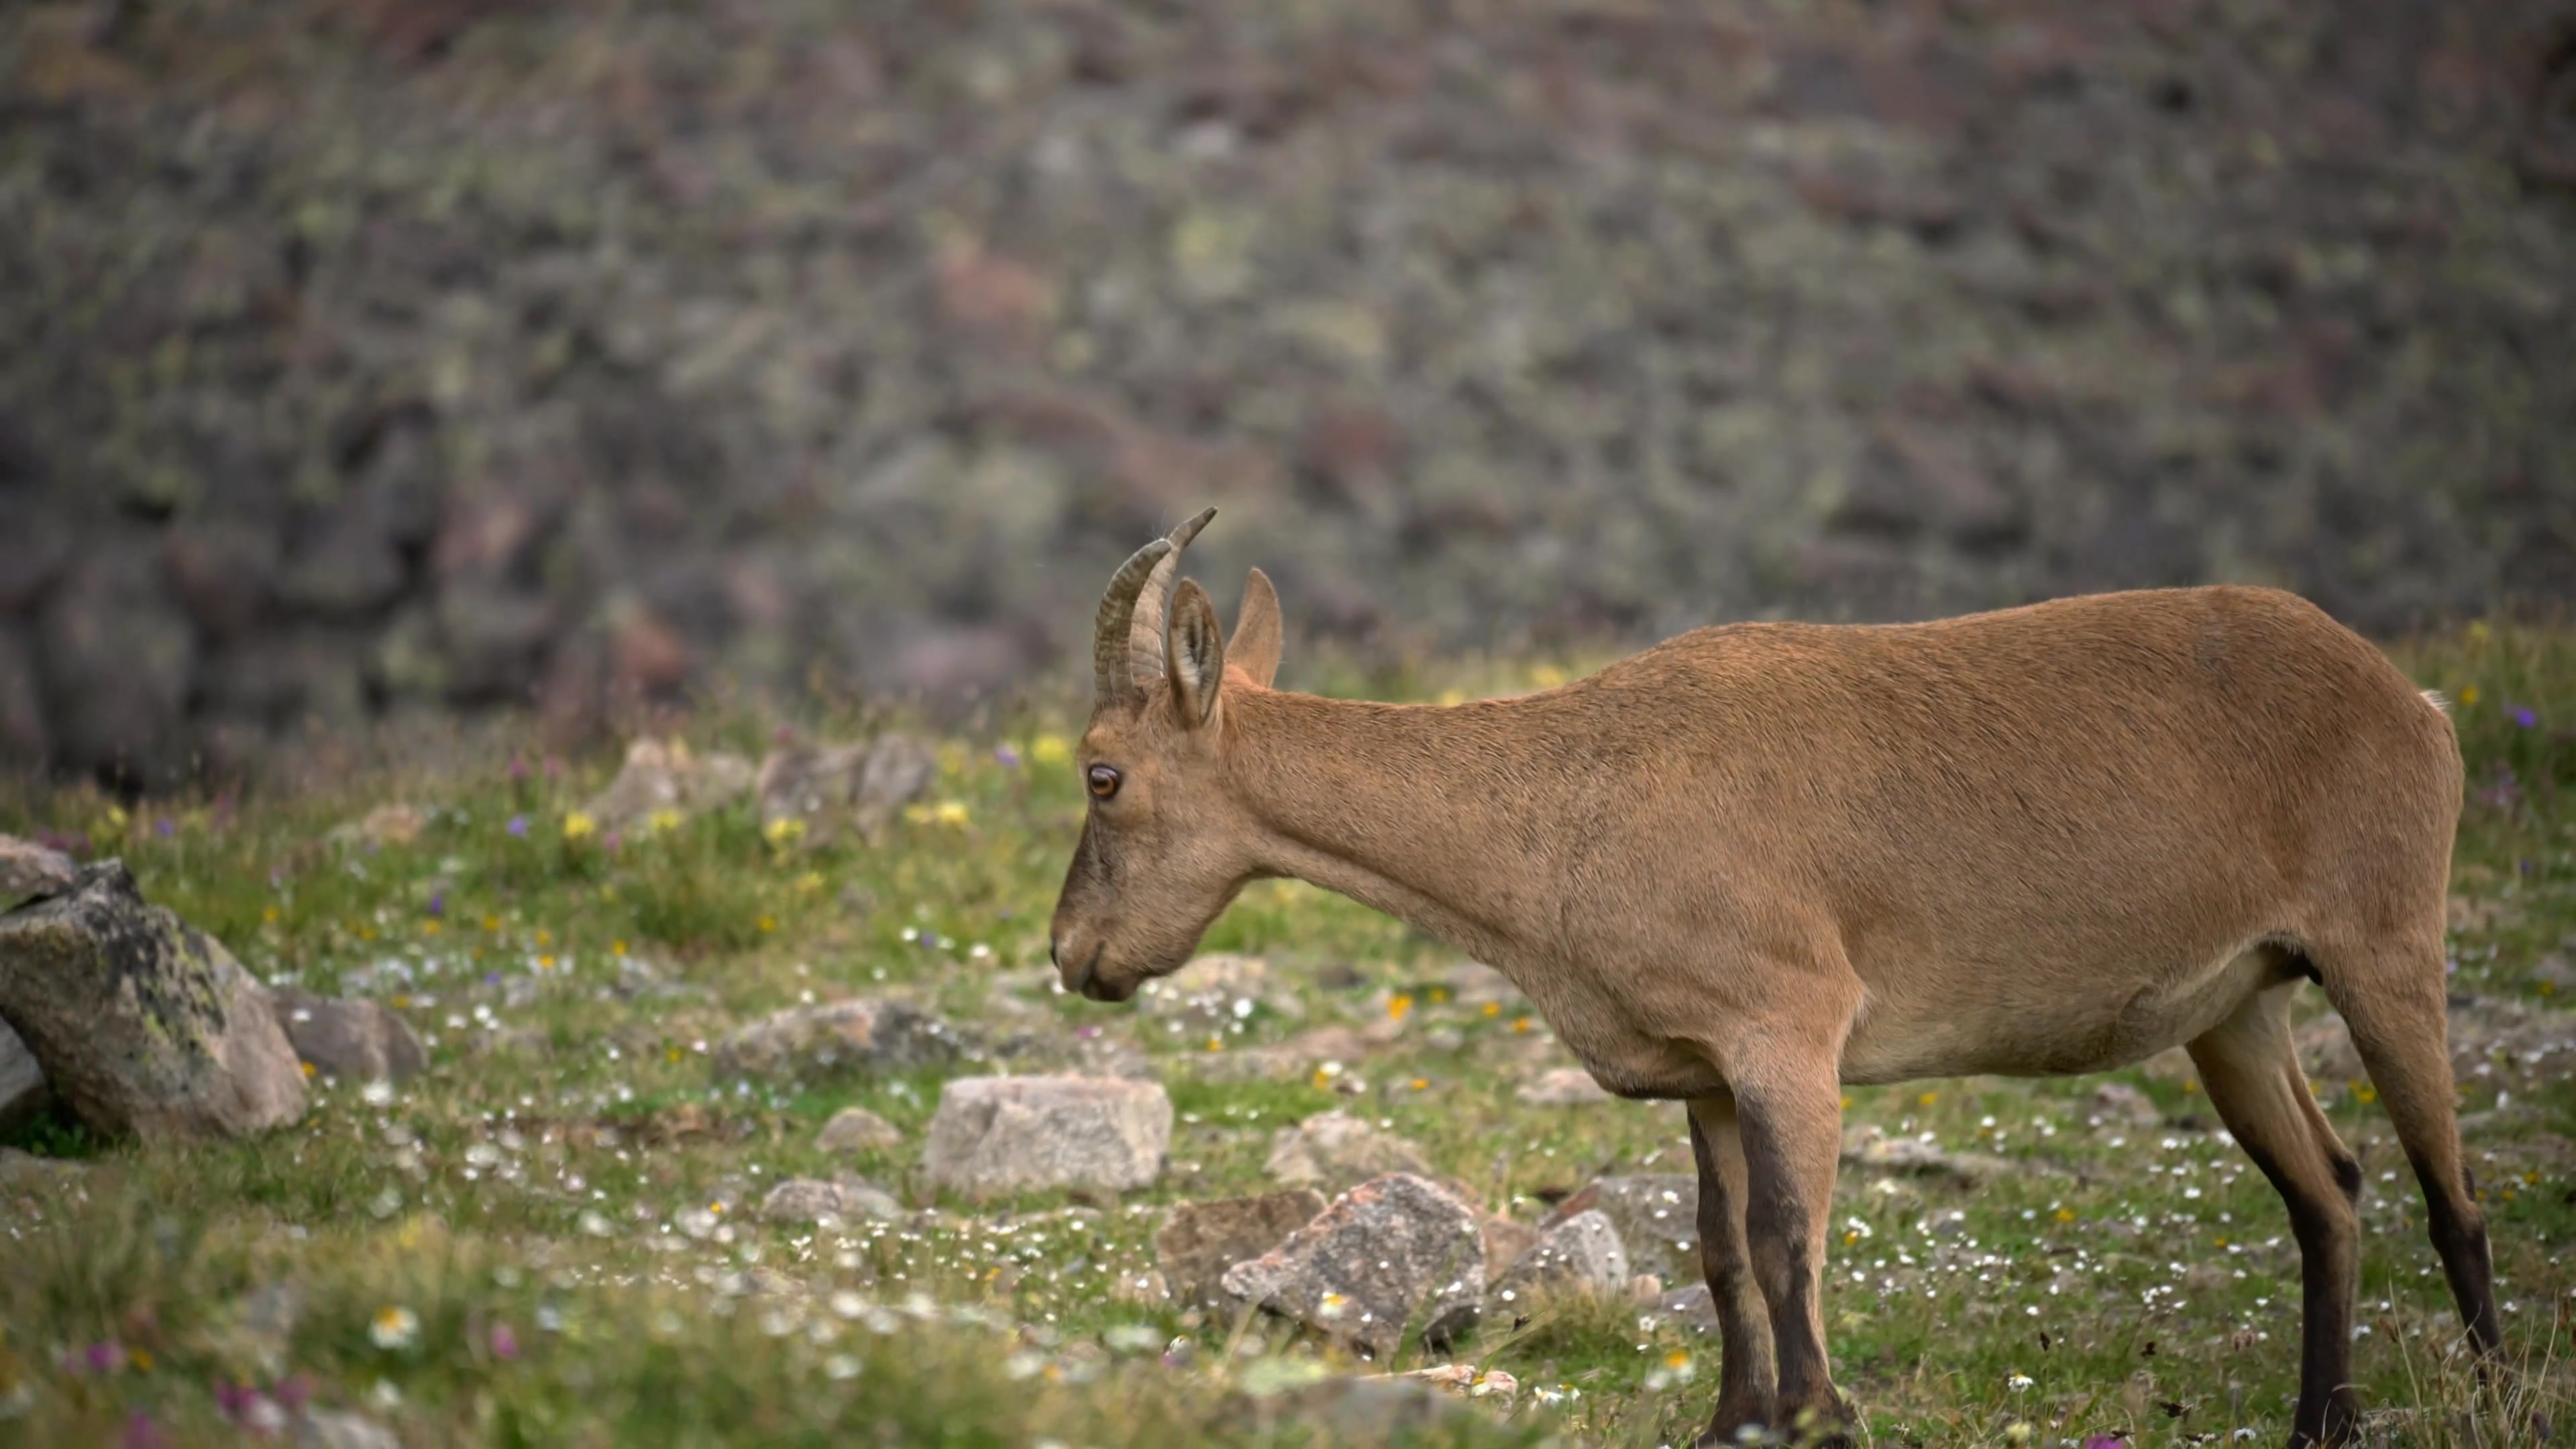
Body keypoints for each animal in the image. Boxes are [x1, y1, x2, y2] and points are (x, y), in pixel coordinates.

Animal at [1048, 508, 2498, 1449]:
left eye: (1101, 773)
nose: (1076, 958)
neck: (1572, 800)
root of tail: (2415, 705)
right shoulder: (1705, 1075)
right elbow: (1720, 1247)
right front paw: (1736, 1420)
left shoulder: (1789, 1034)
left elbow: (1792, 1236)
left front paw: (1818, 1416)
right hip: (2240, 1007)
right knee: (2332, 1190)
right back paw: (2323, 1422)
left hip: (2383, 946)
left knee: (2450, 1188)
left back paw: (2485, 1391)